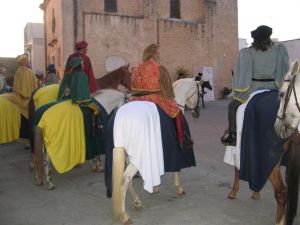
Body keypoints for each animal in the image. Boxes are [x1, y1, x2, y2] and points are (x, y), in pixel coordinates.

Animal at [108, 78, 202, 225]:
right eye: (200, 93)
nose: (196, 113)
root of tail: (120, 118)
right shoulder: (176, 152)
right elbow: (178, 168)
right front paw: (179, 188)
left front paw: (155, 187)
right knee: (125, 180)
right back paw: (124, 216)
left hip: (127, 156)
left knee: (128, 182)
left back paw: (137, 202)